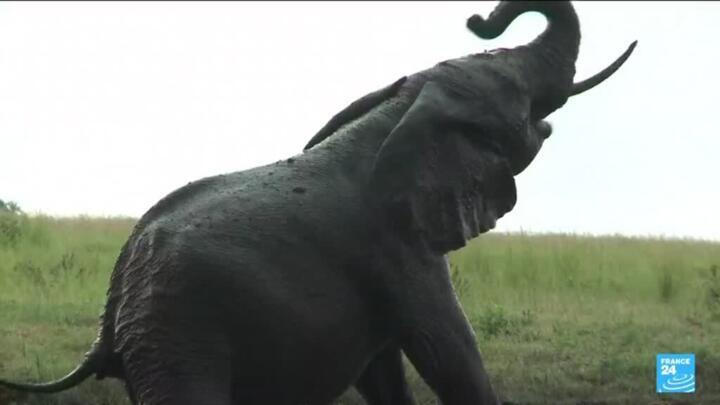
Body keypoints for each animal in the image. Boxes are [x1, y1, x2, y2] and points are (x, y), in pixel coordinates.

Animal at [0, 1, 636, 404]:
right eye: (518, 96)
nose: (479, 18)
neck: (399, 110)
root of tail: (111, 311)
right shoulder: (399, 248)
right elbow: (448, 353)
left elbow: (384, 369)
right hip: (181, 330)